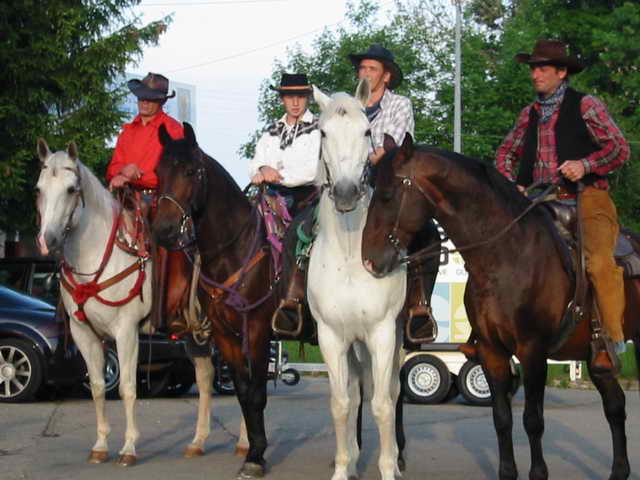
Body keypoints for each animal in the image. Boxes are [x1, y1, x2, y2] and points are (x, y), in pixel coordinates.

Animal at [34, 139, 240, 466]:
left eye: (71, 189)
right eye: (39, 189)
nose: (48, 240)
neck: (98, 258)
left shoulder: (126, 332)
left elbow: (128, 388)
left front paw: (129, 448)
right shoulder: (84, 334)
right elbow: (97, 387)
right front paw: (100, 445)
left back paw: (245, 443)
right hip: (194, 334)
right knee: (206, 376)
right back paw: (197, 442)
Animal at [152, 123, 273, 478]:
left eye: (192, 171)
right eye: (158, 172)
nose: (163, 230)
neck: (232, 252)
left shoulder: (257, 329)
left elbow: (258, 391)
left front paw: (255, 456)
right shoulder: (223, 333)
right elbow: (244, 392)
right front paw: (253, 451)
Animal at [361, 133, 640, 480]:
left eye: (387, 195)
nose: (369, 259)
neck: (506, 255)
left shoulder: (532, 351)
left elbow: (533, 420)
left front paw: (538, 473)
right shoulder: (491, 351)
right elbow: (501, 418)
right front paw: (508, 471)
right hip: (595, 357)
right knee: (615, 405)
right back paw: (619, 470)